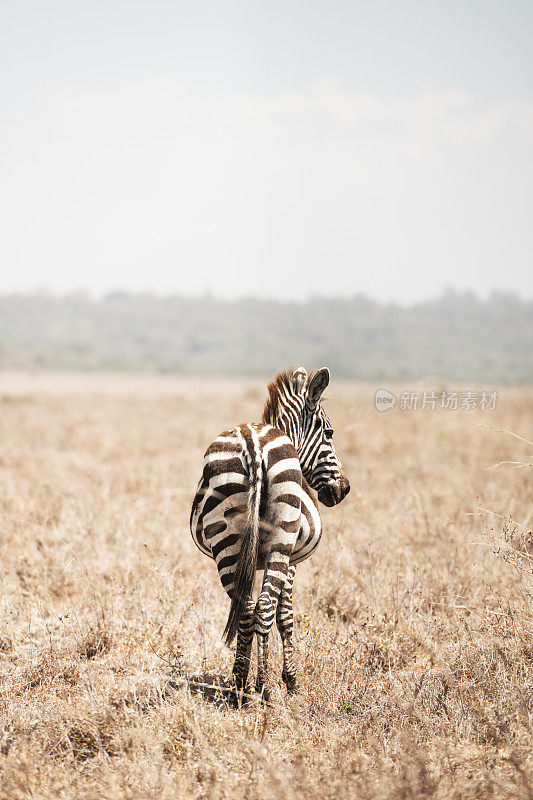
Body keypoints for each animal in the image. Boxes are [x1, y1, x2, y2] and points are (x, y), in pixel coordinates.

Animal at [190, 368, 350, 700]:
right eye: (329, 433)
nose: (344, 490)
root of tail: (253, 442)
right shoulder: (292, 562)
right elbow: (285, 616)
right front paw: (290, 680)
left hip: (228, 544)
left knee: (247, 608)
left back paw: (240, 685)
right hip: (280, 541)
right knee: (263, 608)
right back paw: (263, 688)